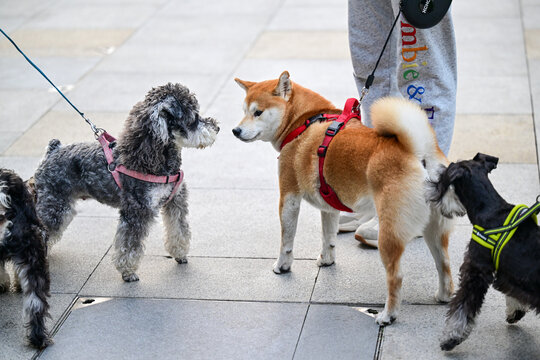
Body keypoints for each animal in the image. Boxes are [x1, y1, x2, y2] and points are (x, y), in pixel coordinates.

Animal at [232, 71, 456, 324]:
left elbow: (286, 240)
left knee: (396, 277)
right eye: (244, 110)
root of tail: (420, 156)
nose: (235, 131)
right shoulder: (329, 206)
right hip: (435, 229)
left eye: (257, 112)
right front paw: (327, 259)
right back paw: (443, 296)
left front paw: (282, 266)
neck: (303, 122)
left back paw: (388, 315)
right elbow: (328, 236)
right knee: (444, 264)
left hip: (389, 233)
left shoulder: (289, 196)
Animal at [432, 153, 536, 350]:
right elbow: (513, 292)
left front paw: (451, 337)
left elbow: (462, 306)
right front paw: (516, 311)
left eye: (442, 178)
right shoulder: (509, 274)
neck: (490, 209)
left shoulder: (476, 270)